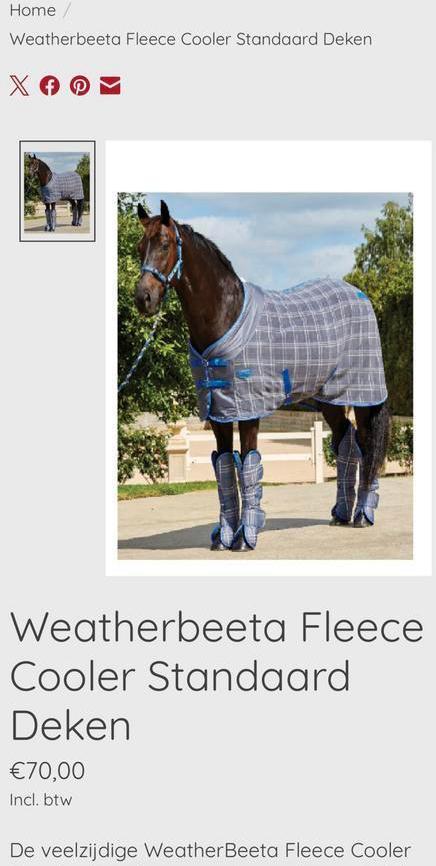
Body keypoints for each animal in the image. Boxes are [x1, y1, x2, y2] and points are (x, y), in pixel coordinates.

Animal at [134, 200, 390, 552]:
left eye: (165, 244)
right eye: (138, 248)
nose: (142, 298)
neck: (224, 316)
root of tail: (359, 295)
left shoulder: (248, 410)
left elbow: (248, 465)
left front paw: (245, 539)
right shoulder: (220, 410)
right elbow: (224, 469)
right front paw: (224, 537)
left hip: (363, 393)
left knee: (367, 444)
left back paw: (363, 515)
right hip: (329, 398)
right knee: (344, 442)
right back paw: (341, 513)